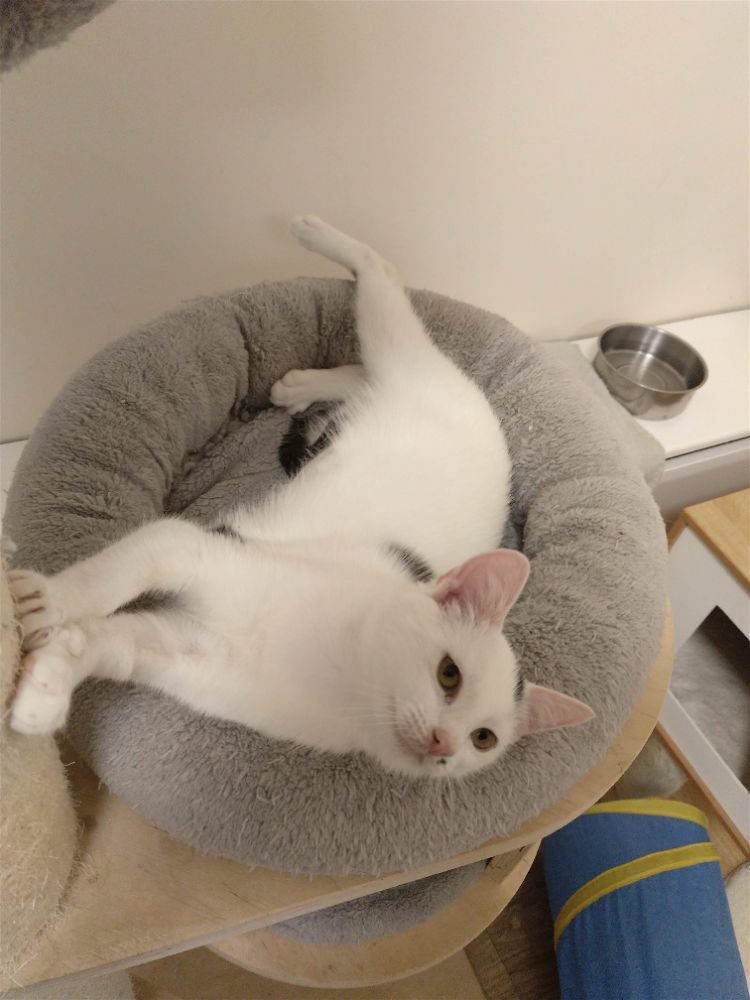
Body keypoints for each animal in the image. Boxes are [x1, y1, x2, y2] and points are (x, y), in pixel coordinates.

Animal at [8, 216, 592, 779]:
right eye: (450, 675)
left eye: (483, 739)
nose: (443, 746)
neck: (342, 676)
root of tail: (482, 404)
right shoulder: (188, 545)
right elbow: (109, 577)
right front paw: (42, 604)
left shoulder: (185, 653)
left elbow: (113, 644)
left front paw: (47, 687)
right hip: (398, 348)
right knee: (380, 280)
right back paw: (314, 236)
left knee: (360, 372)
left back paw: (302, 384)